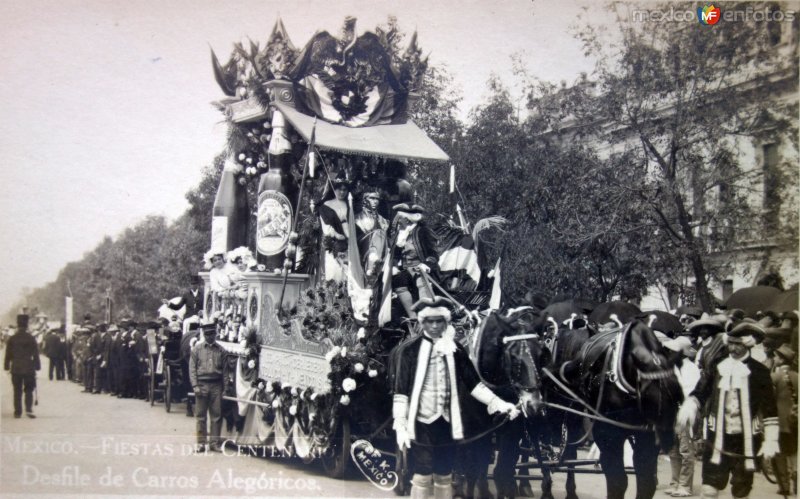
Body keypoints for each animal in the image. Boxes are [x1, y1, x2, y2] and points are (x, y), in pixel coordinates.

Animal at [552, 320, 684, 499]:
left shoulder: (646, 436)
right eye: (649, 396)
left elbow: (646, 481)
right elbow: (618, 480)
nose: (668, 438)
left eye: (678, 394)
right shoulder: (607, 433)